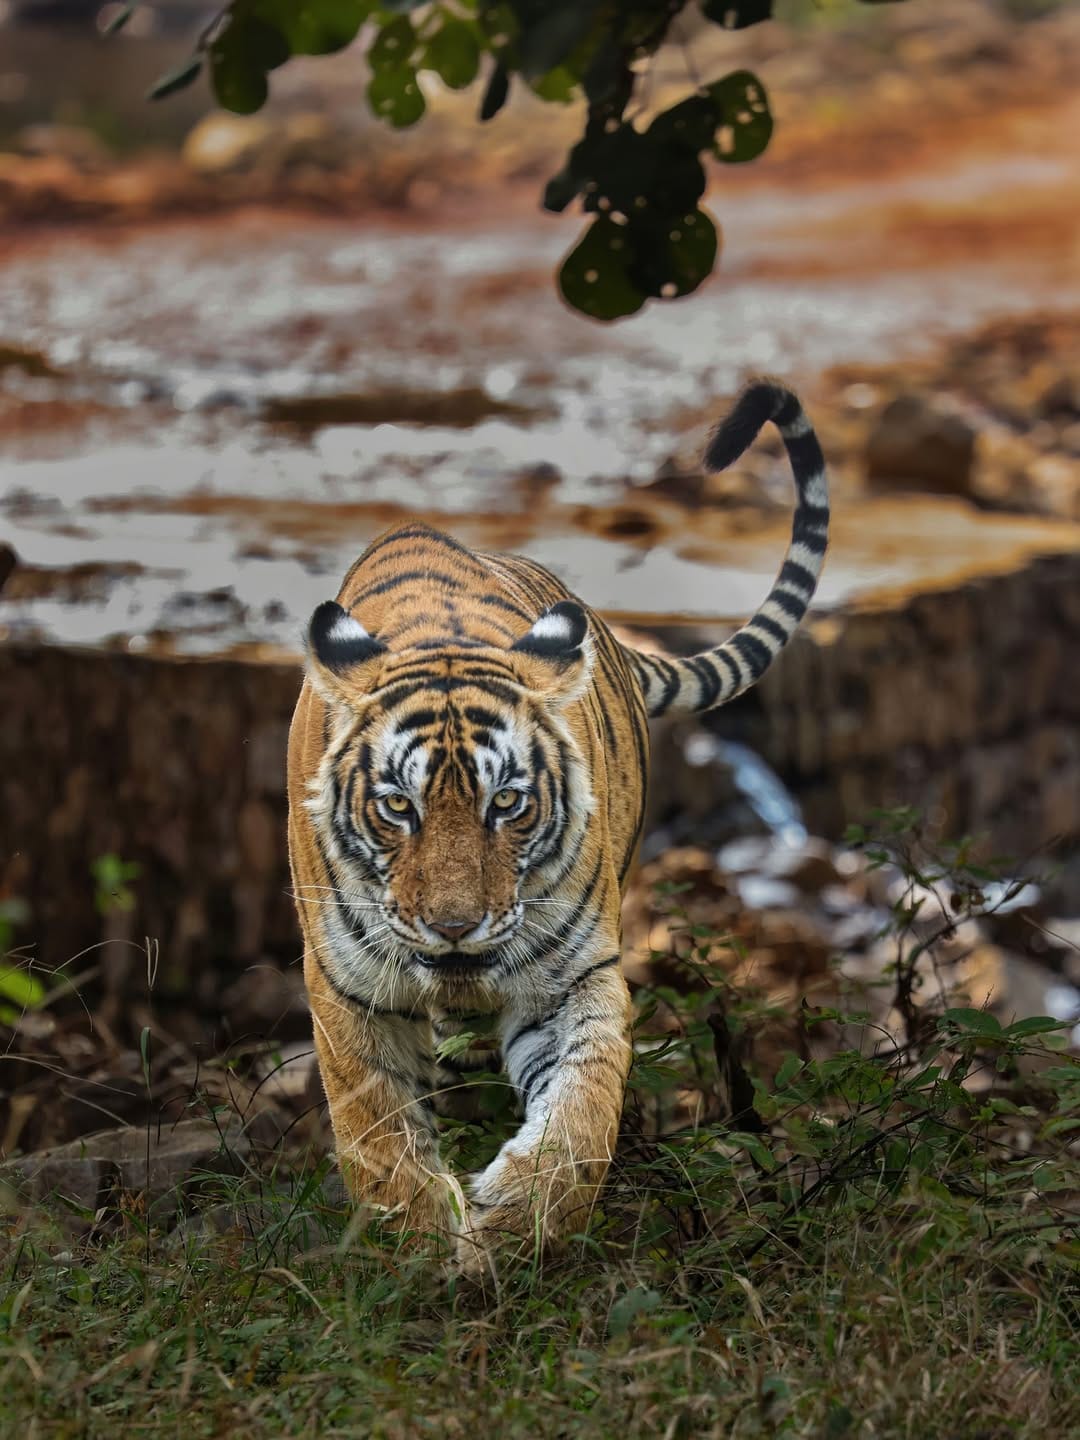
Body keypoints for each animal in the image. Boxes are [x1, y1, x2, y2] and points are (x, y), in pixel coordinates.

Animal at [286, 379, 828, 1270]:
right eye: (398, 806)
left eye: (507, 803)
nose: (455, 928)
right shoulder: (347, 989)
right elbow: (377, 1126)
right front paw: (419, 1246)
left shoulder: (571, 976)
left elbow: (584, 1102)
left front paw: (520, 1222)